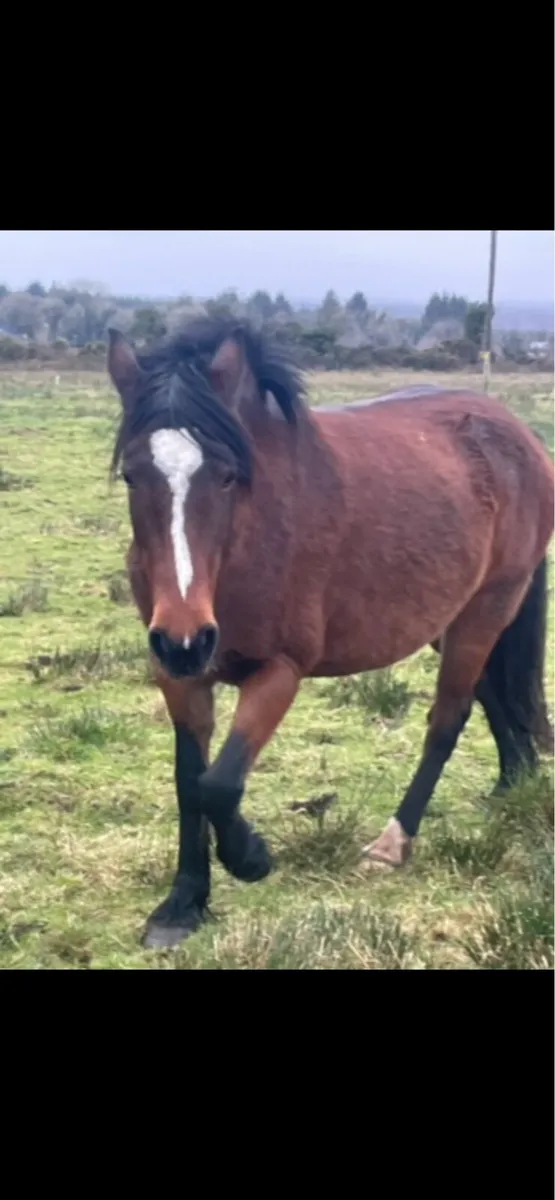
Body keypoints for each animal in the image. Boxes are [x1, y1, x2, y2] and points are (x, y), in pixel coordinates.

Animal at [106, 318, 554, 949]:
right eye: (131, 474)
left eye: (227, 476)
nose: (185, 636)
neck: (246, 541)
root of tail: (517, 433)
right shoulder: (178, 675)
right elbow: (190, 782)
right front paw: (183, 904)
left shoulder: (279, 671)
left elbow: (219, 784)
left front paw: (252, 857)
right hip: (454, 616)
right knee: (493, 694)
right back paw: (513, 786)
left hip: (487, 609)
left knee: (450, 716)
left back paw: (393, 842)